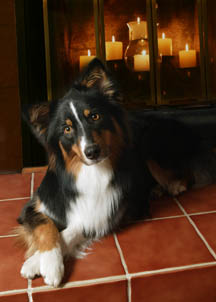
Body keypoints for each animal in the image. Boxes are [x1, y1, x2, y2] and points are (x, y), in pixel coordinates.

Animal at [16, 57, 216, 286]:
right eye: (66, 129)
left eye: (94, 116)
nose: (92, 152)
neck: (91, 172)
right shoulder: (34, 206)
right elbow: (46, 226)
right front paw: (40, 260)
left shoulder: (107, 212)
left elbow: (73, 229)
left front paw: (46, 265)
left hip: (147, 141)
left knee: (189, 171)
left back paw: (173, 186)